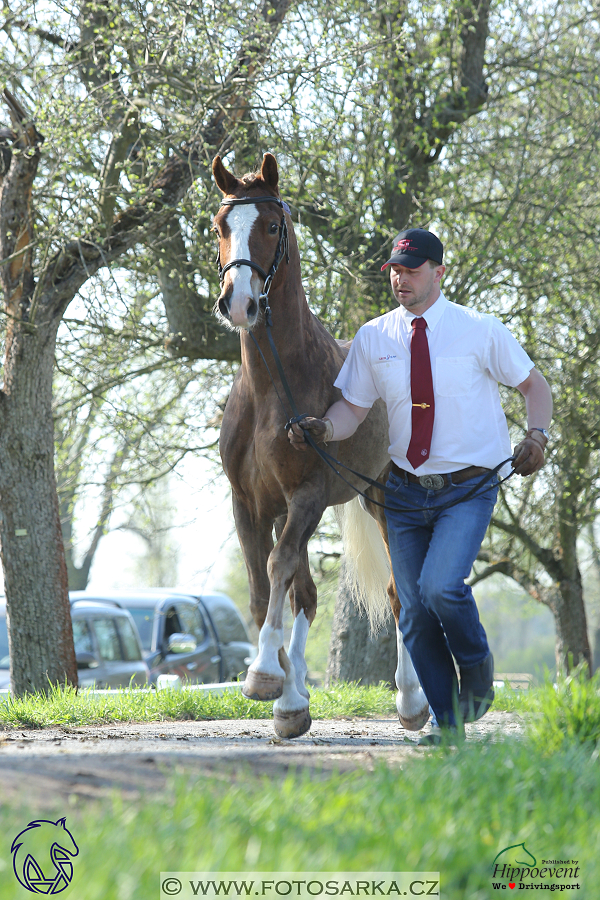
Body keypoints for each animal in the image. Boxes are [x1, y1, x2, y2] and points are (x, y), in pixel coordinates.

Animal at [213, 153, 428, 740]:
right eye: (220, 225)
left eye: (270, 225)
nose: (238, 303)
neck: (272, 388)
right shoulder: (252, 504)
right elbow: (265, 587)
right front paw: (287, 696)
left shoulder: (306, 494)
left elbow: (279, 566)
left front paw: (265, 674)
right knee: (308, 594)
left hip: (384, 500)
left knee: (400, 596)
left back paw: (412, 701)